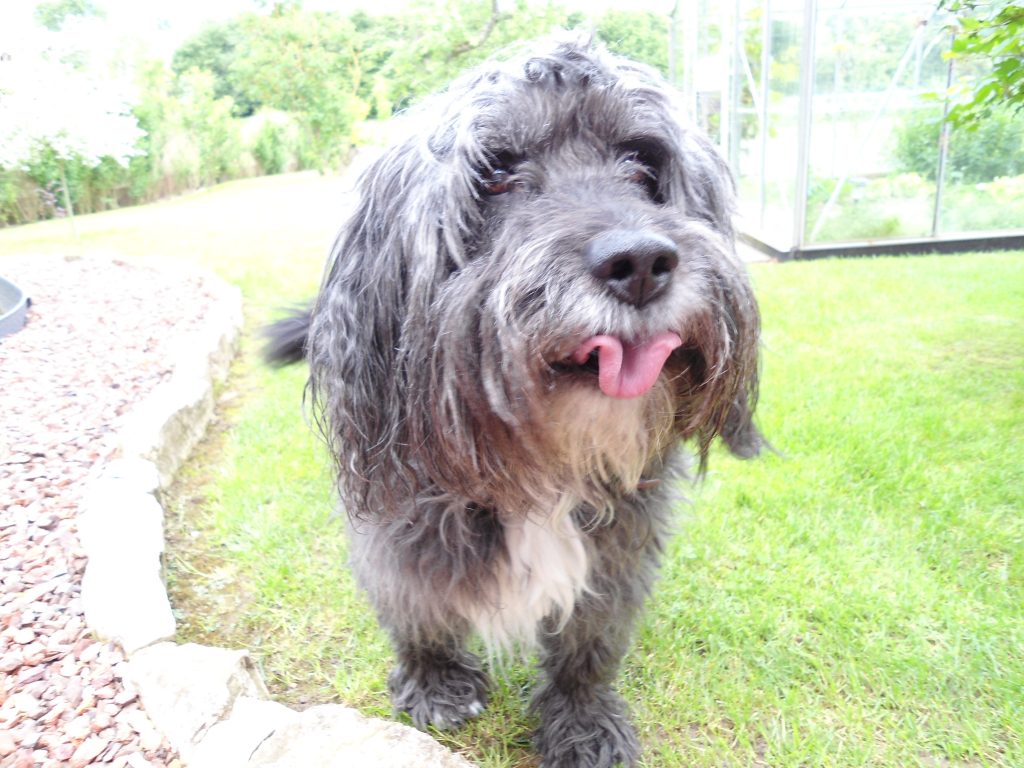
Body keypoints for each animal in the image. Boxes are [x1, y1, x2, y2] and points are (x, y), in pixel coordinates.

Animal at [264, 34, 761, 768]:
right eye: (495, 174)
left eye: (643, 162)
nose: (641, 262)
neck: (540, 462)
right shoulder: (396, 526)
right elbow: (414, 607)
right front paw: (436, 682)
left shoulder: (620, 542)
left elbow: (590, 640)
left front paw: (582, 720)